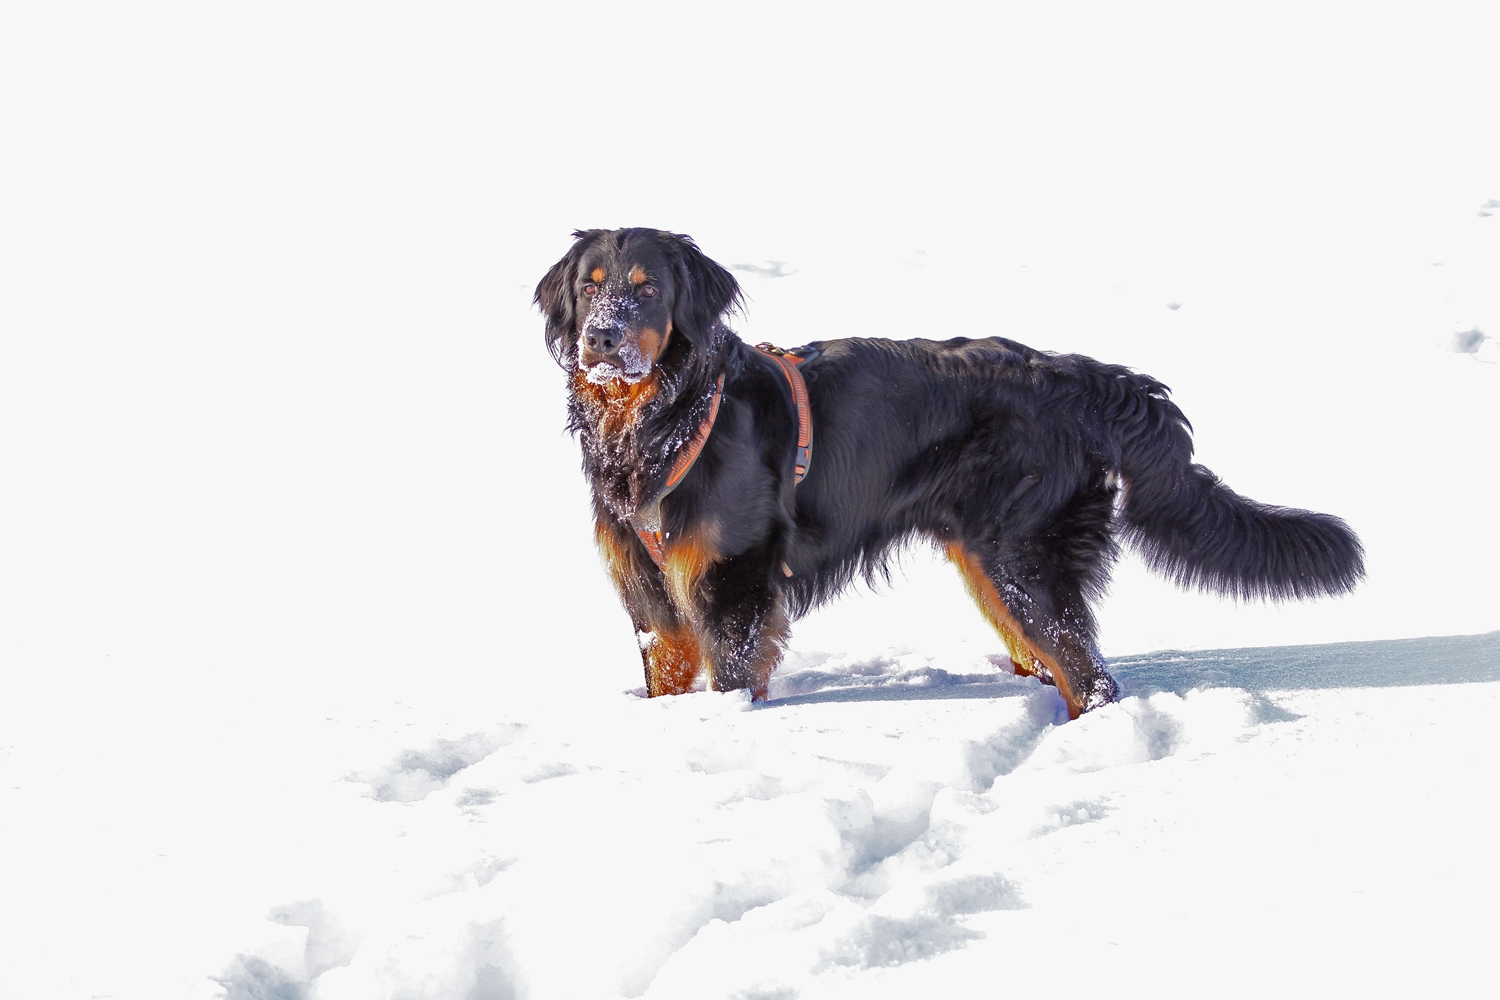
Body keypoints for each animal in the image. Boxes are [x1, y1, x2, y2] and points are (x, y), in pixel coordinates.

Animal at [537, 229, 1362, 710]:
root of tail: (1083, 378)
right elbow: (665, 675)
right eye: (590, 284)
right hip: (989, 562)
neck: (661, 419)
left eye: (647, 287)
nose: (602, 338)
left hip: (1021, 557)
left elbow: (733, 682)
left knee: (1090, 676)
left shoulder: (731, 584)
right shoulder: (652, 597)